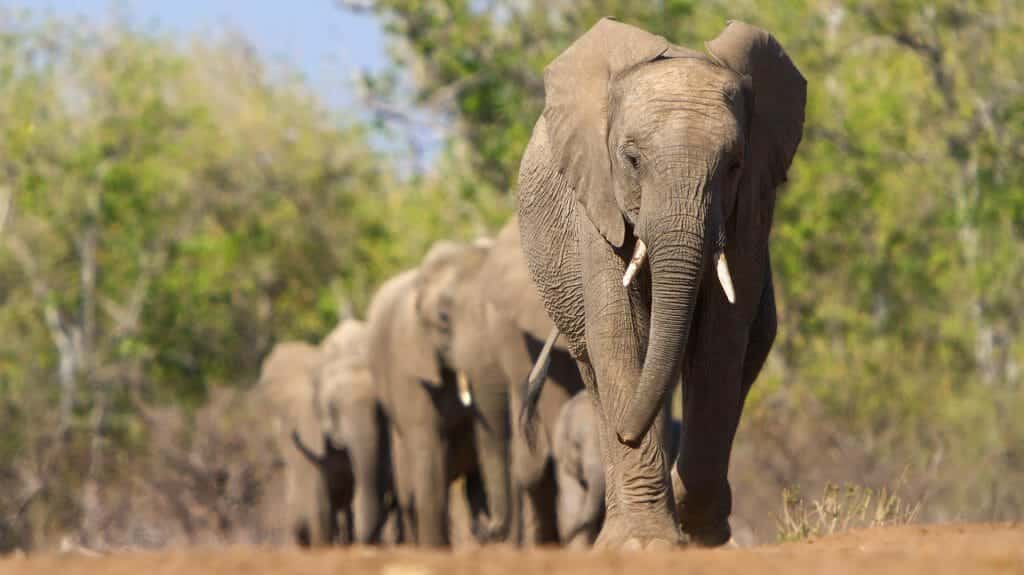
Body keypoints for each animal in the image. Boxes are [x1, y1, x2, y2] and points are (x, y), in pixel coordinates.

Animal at [517, 18, 806, 549]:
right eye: (631, 160)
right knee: (596, 368)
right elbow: (620, 334)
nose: (627, 433)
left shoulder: (750, 212)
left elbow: (719, 341)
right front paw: (648, 543)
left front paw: (698, 530)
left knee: (748, 351)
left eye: (734, 165)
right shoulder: (598, 205)